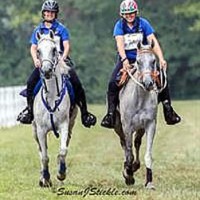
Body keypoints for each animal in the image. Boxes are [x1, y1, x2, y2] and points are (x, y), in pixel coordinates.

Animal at [32, 30, 77, 187]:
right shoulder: (40, 130)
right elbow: (44, 156)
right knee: (40, 151)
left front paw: (61, 173)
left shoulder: (64, 125)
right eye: (38, 51)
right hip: (34, 130)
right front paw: (45, 178)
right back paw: (41, 177)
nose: (46, 70)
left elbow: (63, 150)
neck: (51, 97)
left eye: (54, 50)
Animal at [114, 41, 162, 189]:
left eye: (153, 61)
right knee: (124, 144)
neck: (140, 98)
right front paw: (128, 175)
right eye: (138, 61)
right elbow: (128, 153)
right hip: (118, 127)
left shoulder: (150, 125)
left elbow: (148, 154)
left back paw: (135, 166)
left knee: (137, 143)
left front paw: (149, 182)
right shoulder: (127, 127)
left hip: (140, 128)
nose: (148, 83)